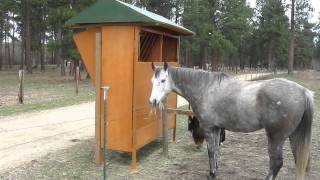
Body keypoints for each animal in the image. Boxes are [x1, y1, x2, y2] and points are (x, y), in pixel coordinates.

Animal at [149, 62, 312, 179]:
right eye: (152, 81)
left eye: (163, 80)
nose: (153, 101)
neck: (205, 88)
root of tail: (304, 92)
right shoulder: (216, 128)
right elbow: (216, 150)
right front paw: (215, 170)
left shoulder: (208, 128)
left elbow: (211, 151)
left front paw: (212, 174)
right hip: (293, 135)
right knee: (298, 160)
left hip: (276, 137)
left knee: (276, 163)